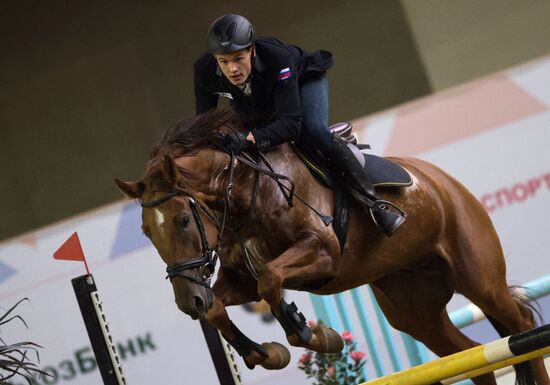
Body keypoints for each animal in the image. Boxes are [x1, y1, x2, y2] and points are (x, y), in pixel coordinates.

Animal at [115, 109, 548, 384]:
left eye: (183, 220)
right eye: (146, 232)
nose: (188, 301)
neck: (245, 194)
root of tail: (443, 182)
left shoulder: (322, 255)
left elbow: (271, 280)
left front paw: (311, 335)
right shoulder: (240, 280)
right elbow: (221, 306)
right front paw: (263, 353)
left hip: (480, 280)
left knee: (521, 326)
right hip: (416, 313)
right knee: (473, 355)